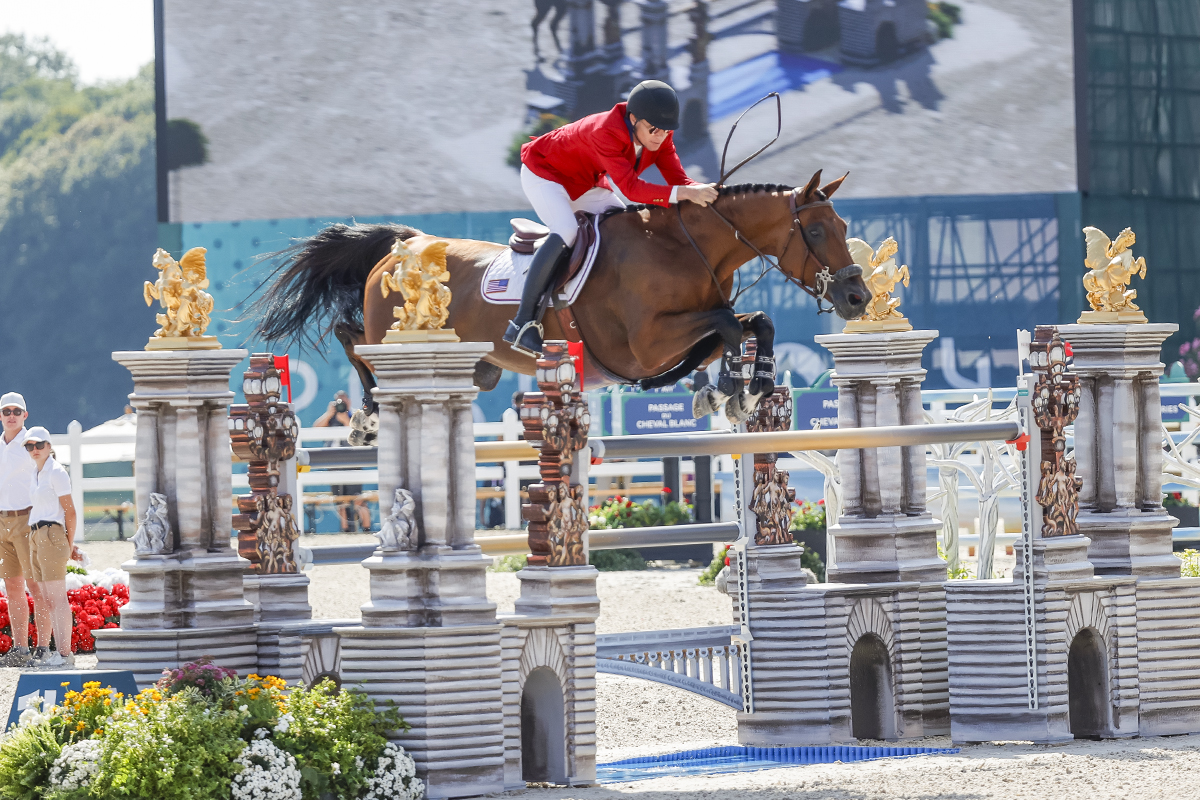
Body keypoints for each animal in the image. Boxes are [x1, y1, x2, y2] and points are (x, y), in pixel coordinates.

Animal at [250, 170, 873, 431]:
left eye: (844, 225)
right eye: (817, 231)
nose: (857, 295)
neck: (686, 247)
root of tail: (404, 244)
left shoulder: (673, 337)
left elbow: (754, 321)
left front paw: (753, 384)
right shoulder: (645, 345)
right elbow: (724, 322)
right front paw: (725, 391)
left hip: (466, 363)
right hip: (394, 336)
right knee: (351, 338)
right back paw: (369, 412)